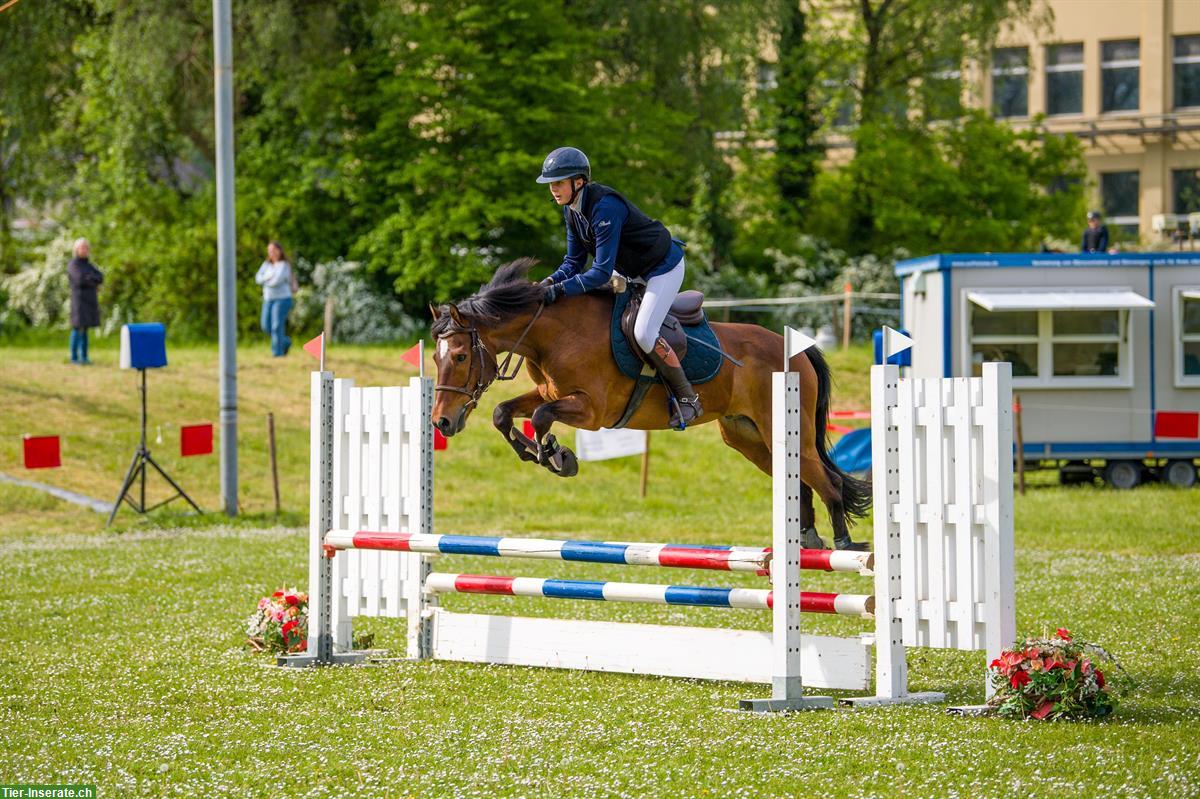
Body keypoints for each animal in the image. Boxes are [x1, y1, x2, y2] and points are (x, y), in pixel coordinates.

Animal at [432, 257, 873, 551]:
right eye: (436, 358)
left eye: (460, 356)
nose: (442, 423)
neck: (553, 333)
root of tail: (796, 348)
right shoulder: (551, 394)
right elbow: (503, 412)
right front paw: (537, 453)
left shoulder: (592, 410)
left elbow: (540, 418)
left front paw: (557, 456)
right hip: (748, 438)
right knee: (799, 480)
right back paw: (808, 539)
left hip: (782, 431)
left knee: (827, 481)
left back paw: (844, 543)